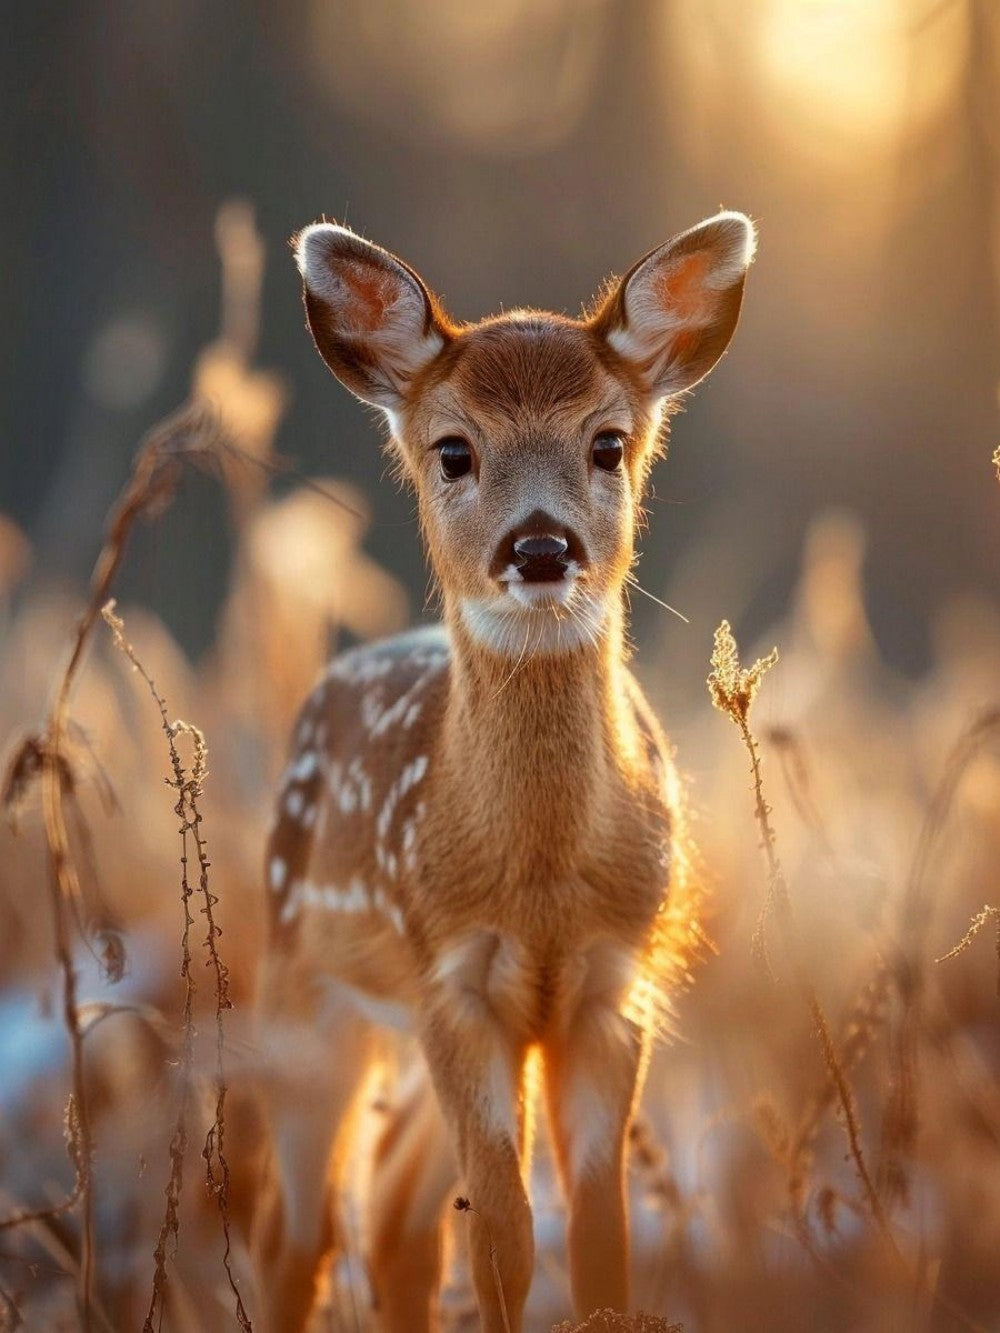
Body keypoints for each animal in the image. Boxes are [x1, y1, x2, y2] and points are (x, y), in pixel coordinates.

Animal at [253, 210, 756, 1332]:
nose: (539, 546)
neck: (541, 888)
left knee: (394, 1222)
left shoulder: (612, 986)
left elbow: (598, 1237)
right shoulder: (451, 978)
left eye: (607, 443)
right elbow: (504, 1243)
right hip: (306, 990)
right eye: (454, 450)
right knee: (300, 1235)